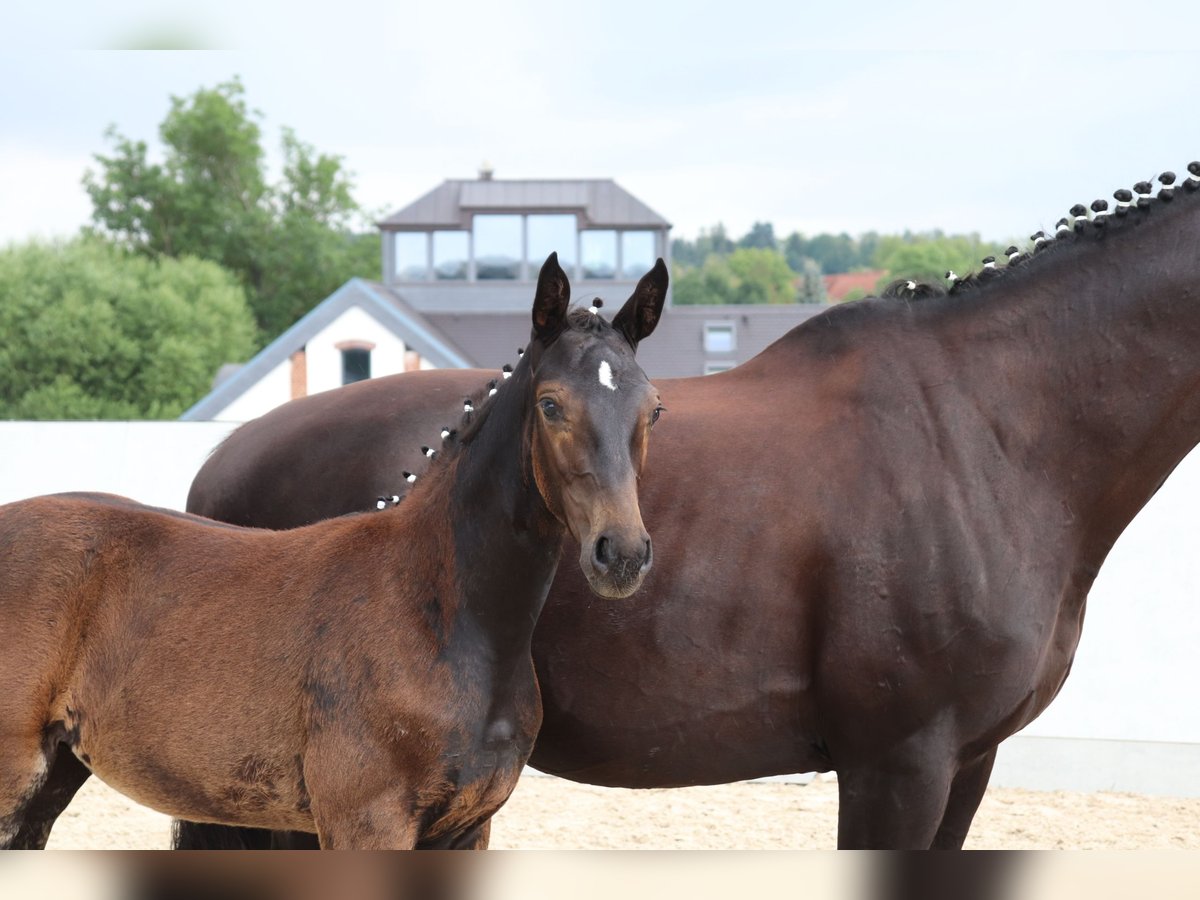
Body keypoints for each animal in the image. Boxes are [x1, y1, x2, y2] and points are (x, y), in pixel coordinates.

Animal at [0, 255, 672, 854]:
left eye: (653, 410)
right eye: (551, 405)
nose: (621, 554)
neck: (438, 611)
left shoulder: (465, 829)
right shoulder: (365, 821)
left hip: (50, 780)